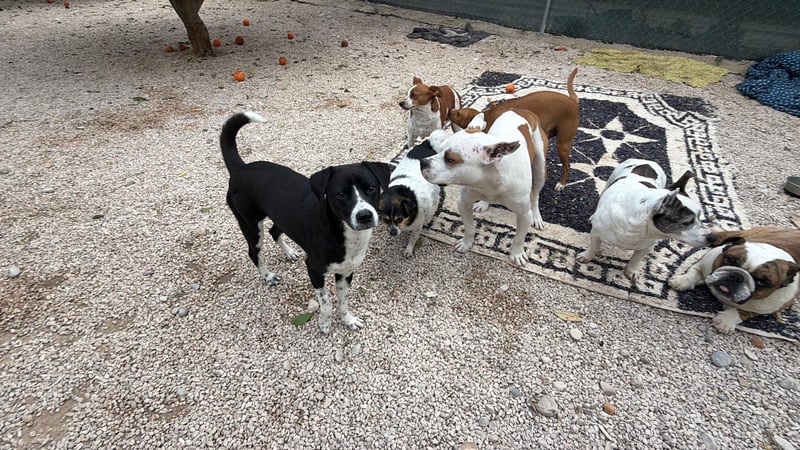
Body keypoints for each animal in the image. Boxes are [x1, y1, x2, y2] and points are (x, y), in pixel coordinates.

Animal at [220, 112, 391, 334]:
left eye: (371, 188)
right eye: (340, 195)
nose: (364, 216)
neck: (342, 234)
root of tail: (241, 168)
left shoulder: (346, 272)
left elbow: (343, 301)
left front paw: (348, 320)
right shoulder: (314, 269)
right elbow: (326, 302)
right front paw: (325, 323)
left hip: (281, 217)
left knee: (275, 231)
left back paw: (289, 252)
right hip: (250, 225)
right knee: (253, 252)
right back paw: (268, 276)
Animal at [419, 108, 547, 266]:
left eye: (450, 159)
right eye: (439, 150)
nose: (422, 162)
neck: (490, 179)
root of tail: (521, 109)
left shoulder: (524, 214)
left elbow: (519, 238)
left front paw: (516, 254)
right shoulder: (463, 203)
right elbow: (469, 228)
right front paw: (466, 244)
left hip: (540, 168)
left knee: (535, 195)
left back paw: (537, 215)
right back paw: (483, 203)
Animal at [449, 68, 580, 193]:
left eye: (459, 113)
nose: (450, 110)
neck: (486, 117)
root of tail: (573, 101)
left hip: (562, 144)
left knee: (567, 165)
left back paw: (561, 184)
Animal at [576, 158, 716, 281]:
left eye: (700, 217)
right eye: (687, 222)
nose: (712, 236)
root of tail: (647, 161)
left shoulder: (647, 247)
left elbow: (636, 258)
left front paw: (631, 271)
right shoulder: (596, 234)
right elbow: (594, 247)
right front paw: (586, 256)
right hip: (609, 182)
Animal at [670, 227, 800, 333]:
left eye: (762, 282)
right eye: (729, 259)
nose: (737, 276)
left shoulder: (767, 308)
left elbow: (742, 312)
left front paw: (726, 320)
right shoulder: (703, 264)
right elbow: (693, 274)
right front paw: (681, 281)